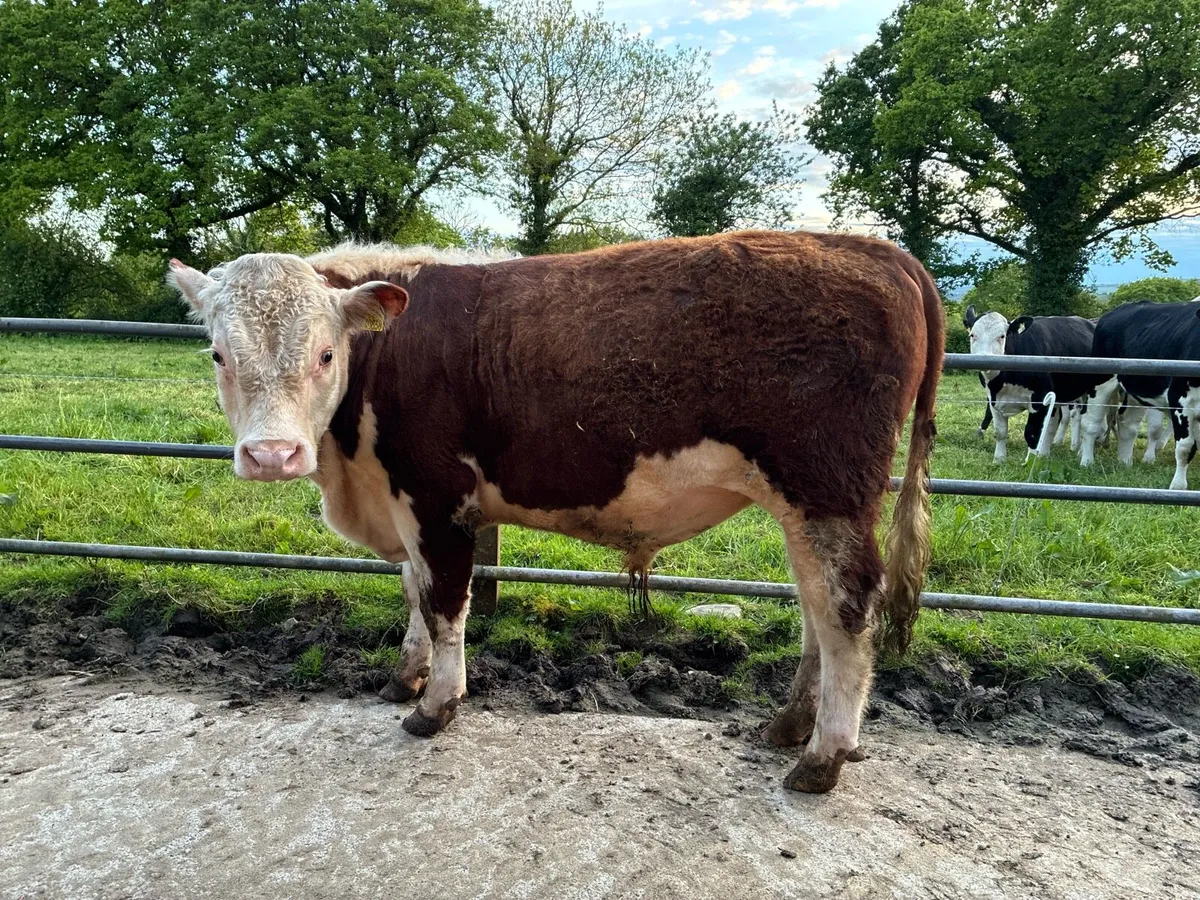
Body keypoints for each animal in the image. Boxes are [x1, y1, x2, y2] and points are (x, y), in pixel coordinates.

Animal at [168, 230, 943, 794]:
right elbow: (413, 591)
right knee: (815, 606)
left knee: (847, 610)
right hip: (802, 504)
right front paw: (403, 676)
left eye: (327, 353)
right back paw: (787, 725)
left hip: (828, 491)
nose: (273, 454)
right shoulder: (402, 505)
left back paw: (822, 758)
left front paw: (435, 705)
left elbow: (445, 603)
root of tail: (876, 249)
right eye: (218, 354)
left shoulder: (437, 499)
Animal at [963, 306, 1096, 462]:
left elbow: (1032, 433)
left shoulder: (1040, 399)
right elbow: (1000, 431)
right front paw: (999, 459)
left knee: (1081, 418)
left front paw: (1029, 461)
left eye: (1002, 336)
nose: (984, 359)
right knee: (1058, 421)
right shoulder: (993, 400)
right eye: (972, 335)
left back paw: (1079, 450)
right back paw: (1047, 452)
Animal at [1078, 300, 1200, 489]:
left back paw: (1124, 462)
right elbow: (1185, 447)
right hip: (1102, 380)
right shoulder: (1180, 399)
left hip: (1135, 390)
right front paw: (1178, 486)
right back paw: (1087, 462)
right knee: (1090, 423)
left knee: (1126, 422)